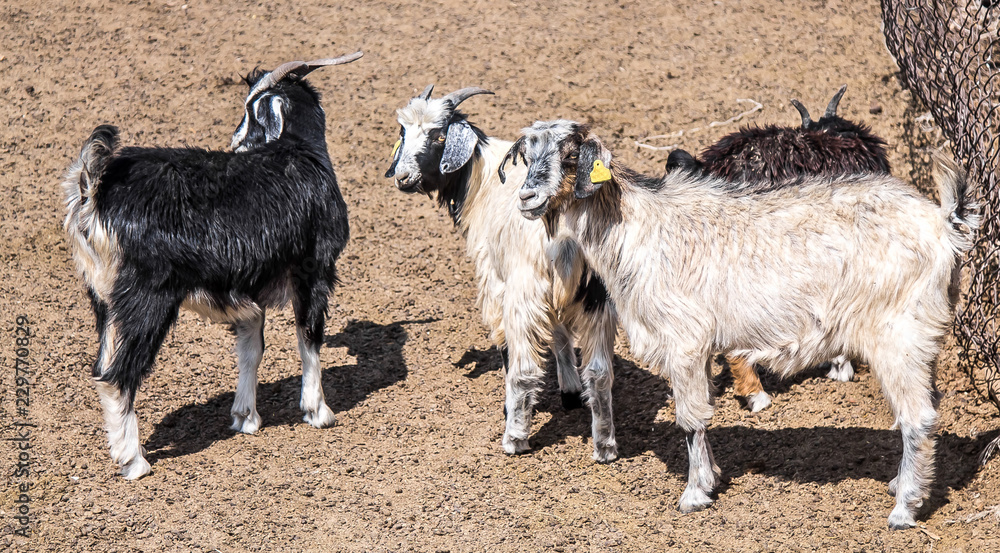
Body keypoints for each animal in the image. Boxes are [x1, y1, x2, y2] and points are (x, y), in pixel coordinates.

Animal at [62, 52, 362, 479]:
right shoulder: (314, 270)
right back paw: (134, 460)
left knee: (102, 366)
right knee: (117, 375)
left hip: (103, 299)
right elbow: (309, 337)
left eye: (249, 112)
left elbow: (252, 348)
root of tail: (93, 190)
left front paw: (245, 418)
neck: (299, 151)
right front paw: (318, 411)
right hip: (146, 298)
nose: (235, 143)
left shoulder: (248, 289)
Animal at [384, 86, 619, 461]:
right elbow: (561, 334)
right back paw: (606, 446)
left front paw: (513, 409)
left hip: (523, 291)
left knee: (523, 368)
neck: (481, 182)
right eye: (403, 133)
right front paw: (569, 391)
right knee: (598, 373)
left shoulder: (496, 280)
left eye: (439, 135)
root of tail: (567, 237)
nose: (403, 179)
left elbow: (509, 349)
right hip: (598, 296)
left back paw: (515, 438)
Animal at [508, 120, 977, 529]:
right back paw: (901, 483)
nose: (527, 196)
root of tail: (944, 226)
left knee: (917, 417)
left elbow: (690, 419)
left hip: (898, 336)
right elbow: (702, 414)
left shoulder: (684, 340)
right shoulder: (695, 347)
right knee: (924, 412)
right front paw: (711, 477)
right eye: (525, 155)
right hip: (923, 340)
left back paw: (905, 509)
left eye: (570, 155)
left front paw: (694, 494)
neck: (636, 228)